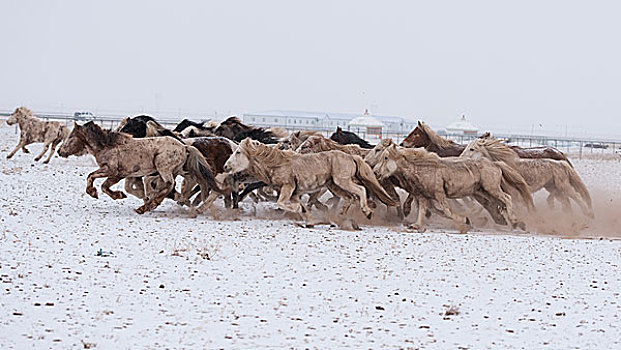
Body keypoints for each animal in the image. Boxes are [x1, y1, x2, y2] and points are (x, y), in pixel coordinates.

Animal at [58, 121, 225, 213]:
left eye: (71, 136)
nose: (60, 151)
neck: (108, 146)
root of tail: (184, 147)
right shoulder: (118, 175)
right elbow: (105, 187)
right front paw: (119, 195)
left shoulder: (110, 170)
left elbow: (91, 176)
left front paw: (92, 192)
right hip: (170, 171)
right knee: (169, 187)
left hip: (163, 168)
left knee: (169, 185)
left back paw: (147, 206)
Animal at [223, 138, 398, 226]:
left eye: (238, 152)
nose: (226, 166)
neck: (277, 163)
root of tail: (351, 156)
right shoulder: (294, 193)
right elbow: (301, 206)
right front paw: (310, 220)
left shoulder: (288, 187)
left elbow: (282, 203)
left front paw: (300, 211)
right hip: (333, 185)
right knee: (350, 198)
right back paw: (339, 218)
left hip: (342, 181)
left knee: (360, 191)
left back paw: (367, 212)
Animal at [372, 144, 532, 234]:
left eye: (385, 157)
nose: (375, 172)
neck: (425, 168)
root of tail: (495, 164)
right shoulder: (423, 196)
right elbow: (423, 211)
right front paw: (417, 226)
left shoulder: (439, 194)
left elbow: (447, 211)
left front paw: (466, 221)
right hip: (483, 192)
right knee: (500, 203)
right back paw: (514, 222)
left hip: (491, 188)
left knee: (507, 198)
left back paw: (516, 221)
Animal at [460, 138, 592, 217]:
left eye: (472, 149)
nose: (461, 158)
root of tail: (561, 163)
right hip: (552, 187)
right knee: (565, 201)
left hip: (562, 185)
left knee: (576, 196)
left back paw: (588, 214)